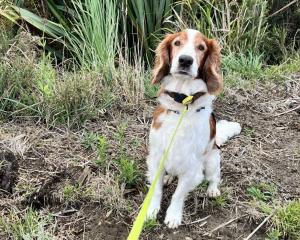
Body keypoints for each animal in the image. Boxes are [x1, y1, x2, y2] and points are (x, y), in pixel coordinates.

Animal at [145, 29, 241, 228]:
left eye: (201, 47)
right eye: (177, 43)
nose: (185, 60)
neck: (182, 103)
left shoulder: (192, 166)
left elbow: (179, 194)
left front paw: (173, 216)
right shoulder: (156, 157)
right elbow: (156, 189)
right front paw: (151, 211)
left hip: (212, 161)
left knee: (214, 177)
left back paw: (212, 190)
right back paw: (168, 177)